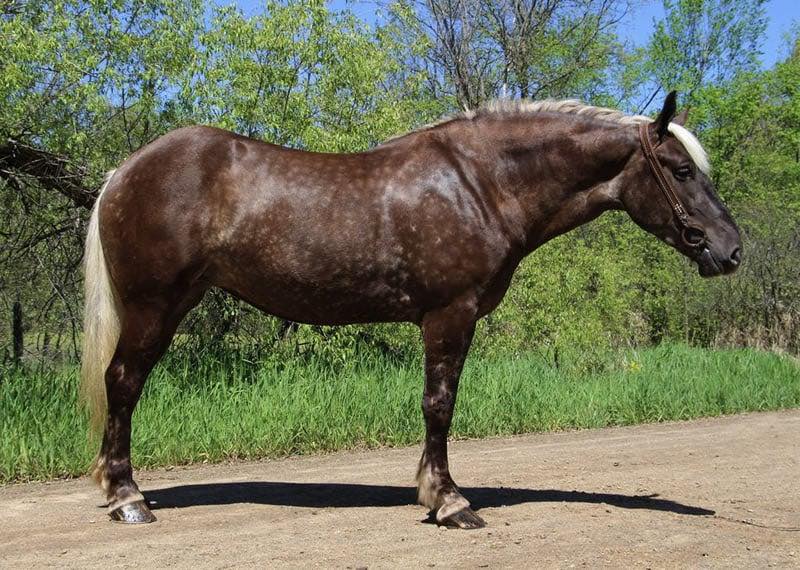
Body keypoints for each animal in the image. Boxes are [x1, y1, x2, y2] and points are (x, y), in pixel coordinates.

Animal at [81, 91, 741, 527]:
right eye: (682, 170)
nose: (731, 249)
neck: (481, 184)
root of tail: (124, 171)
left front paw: (433, 492)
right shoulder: (450, 314)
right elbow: (439, 405)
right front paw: (449, 502)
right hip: (153, 307)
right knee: (123, 383)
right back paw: (128, 499)